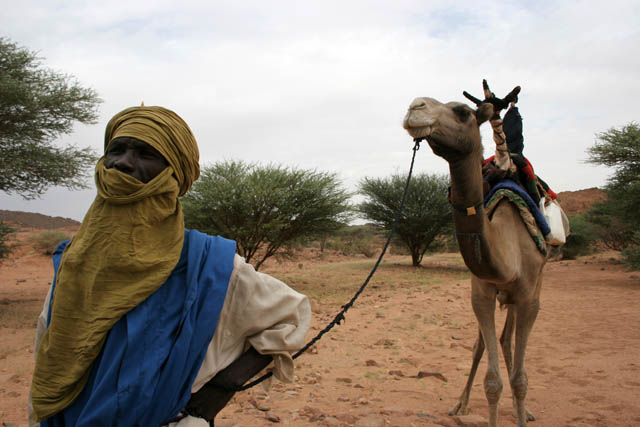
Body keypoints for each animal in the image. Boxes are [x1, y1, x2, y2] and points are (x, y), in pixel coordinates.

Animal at [402, 81, 547, 427]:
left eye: (462, 112)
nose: (415, 107)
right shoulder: (480, 290)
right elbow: (491, 378)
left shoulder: (529, 296)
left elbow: (521, 378)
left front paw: (522, 412)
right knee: (489, 343)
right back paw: (460, 404)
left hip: (530, 287)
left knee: (508, 342)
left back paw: (524, 410)